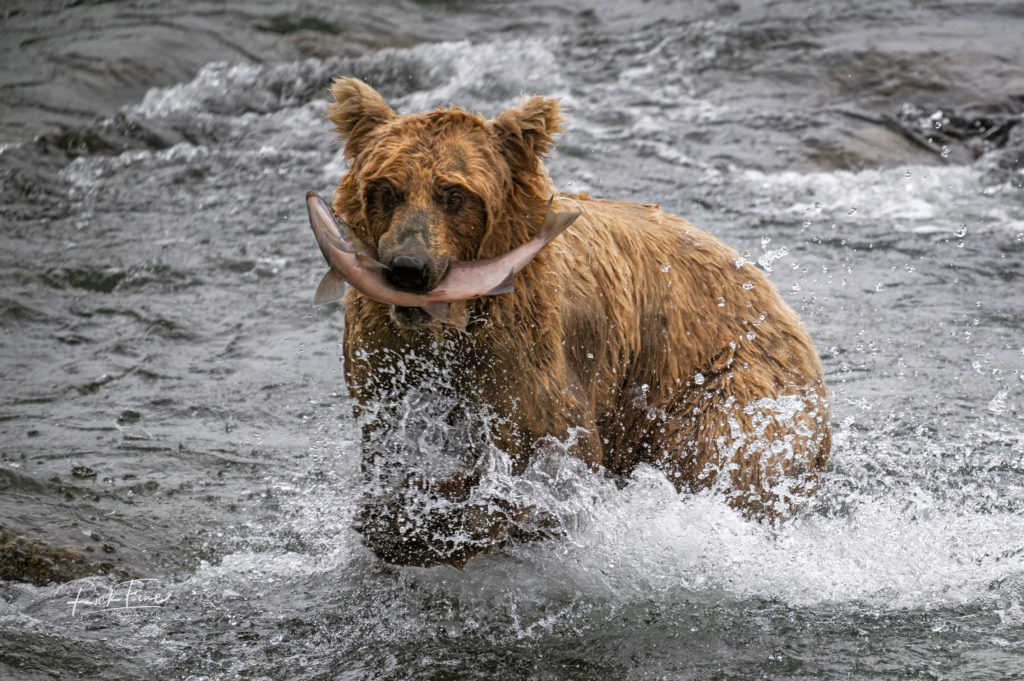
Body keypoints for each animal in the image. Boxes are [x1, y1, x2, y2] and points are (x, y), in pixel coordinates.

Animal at [327, 76, 831, 565]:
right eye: (387, 189)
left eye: (453, 194)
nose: (408, 268)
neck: (453, 325)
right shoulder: (388, 355)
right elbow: (394, 439)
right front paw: (401, 516)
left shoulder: (526, 348)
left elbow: (555, 453)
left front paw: (448, 521)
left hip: (727, 380)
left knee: (716, 452)